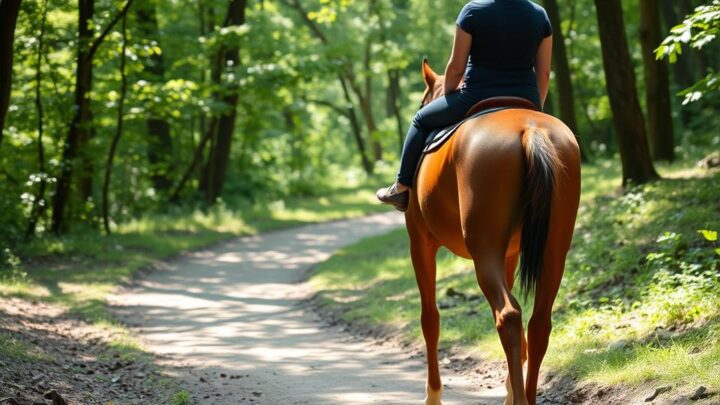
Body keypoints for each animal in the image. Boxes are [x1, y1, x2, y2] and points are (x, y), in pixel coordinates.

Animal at [406, 60, 581, 405]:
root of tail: (530, 129)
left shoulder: (419, 242)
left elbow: (430, 319)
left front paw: (433, 395)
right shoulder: (510, 254)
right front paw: (510, 389)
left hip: (483, 251)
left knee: (509, 316)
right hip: (554, 249)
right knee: (538, 323)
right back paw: (525, 395)